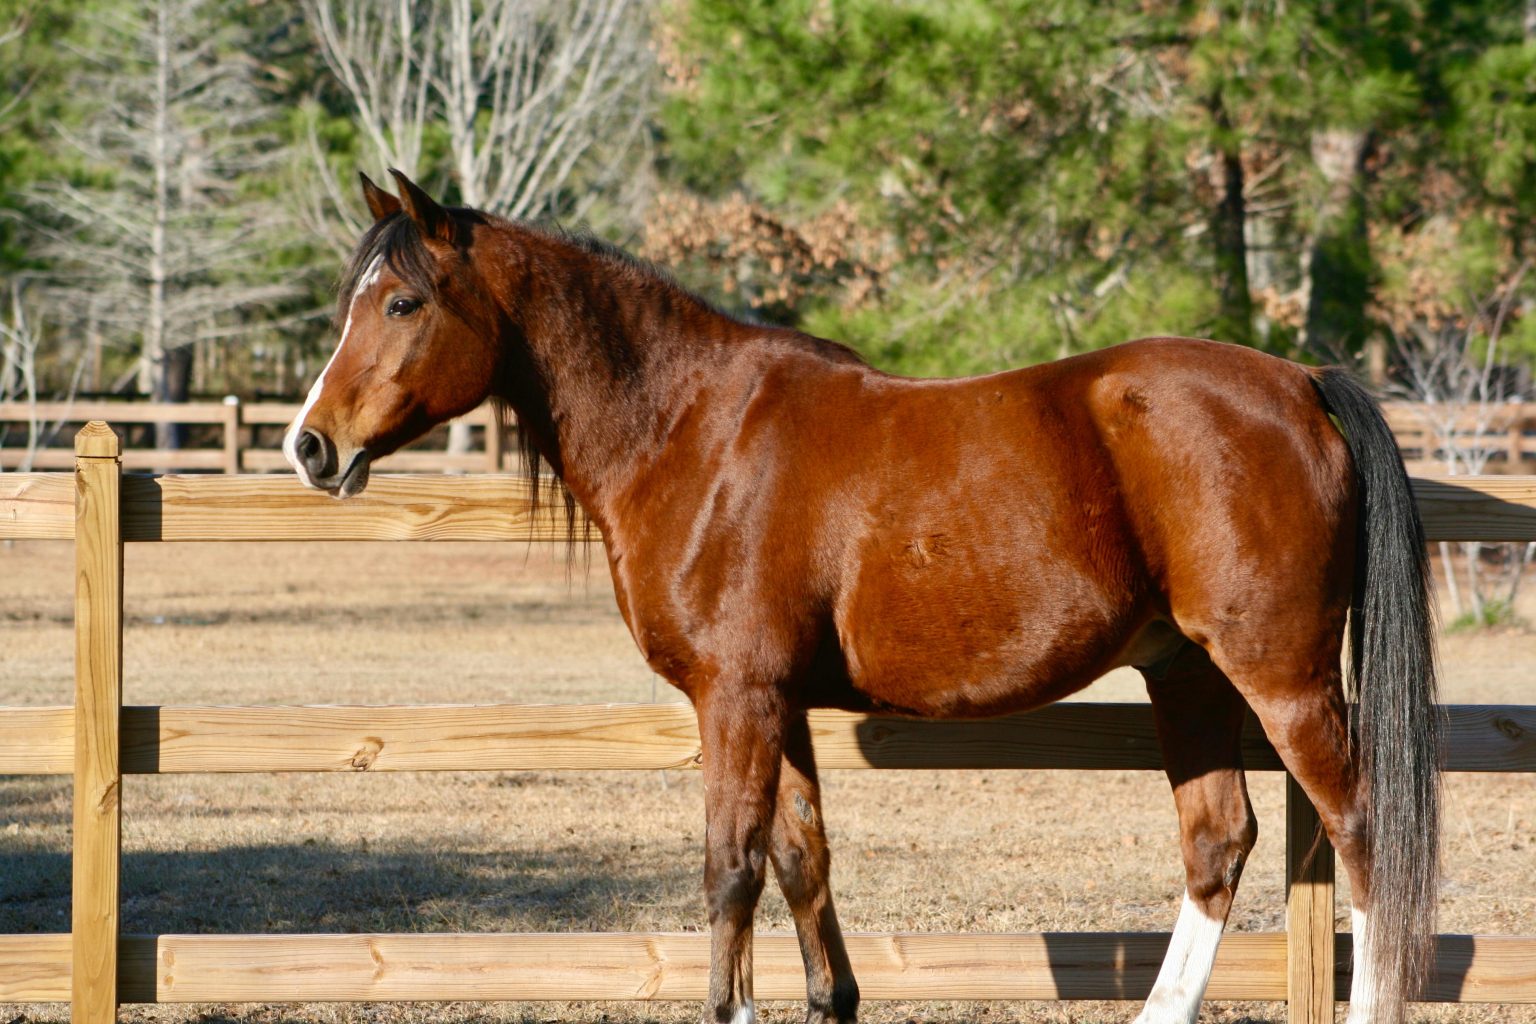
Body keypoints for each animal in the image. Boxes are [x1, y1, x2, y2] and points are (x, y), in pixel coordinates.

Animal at [284, 170, 1439, 1024]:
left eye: (402, 301)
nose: (310, 445)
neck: (693, 432)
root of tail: (1299, 383)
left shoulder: (737, 698)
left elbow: (733, 870)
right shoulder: (781, 704)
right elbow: (803, 863)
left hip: (1280, 677)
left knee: (1365, 835)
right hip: (1186, 669)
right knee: (1217, 841)